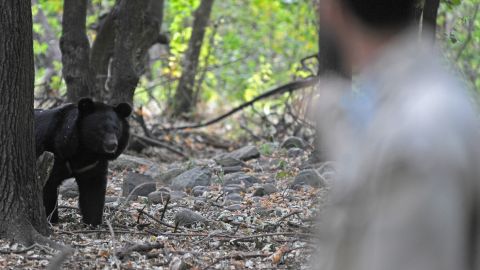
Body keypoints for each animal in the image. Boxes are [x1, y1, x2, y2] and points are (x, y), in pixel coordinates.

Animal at [34, 97, 132, 226]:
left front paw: (93, 222)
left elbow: (93, 190)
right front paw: (51, 219)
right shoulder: (53, 153)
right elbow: (48, 186)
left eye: (116, 129)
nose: (112, 145)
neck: (86, 149)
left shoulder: (93, 164)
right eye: (100, 128)